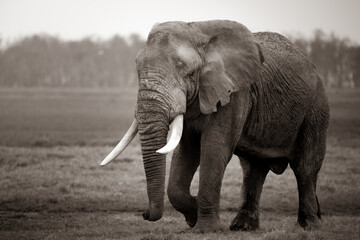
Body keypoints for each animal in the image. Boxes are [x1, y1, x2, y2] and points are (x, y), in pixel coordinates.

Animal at [100, 20, 330, 232]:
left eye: (182, 67)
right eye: (137, 67)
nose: (144, 214)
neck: (197, 32)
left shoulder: (234, 92)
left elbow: (214, 148)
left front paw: (206, 229)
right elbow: (186, 152)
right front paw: (193, 216)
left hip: (316, 107)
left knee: (305, 167)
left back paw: (310, 226)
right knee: (252, 168)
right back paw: (242, 227)